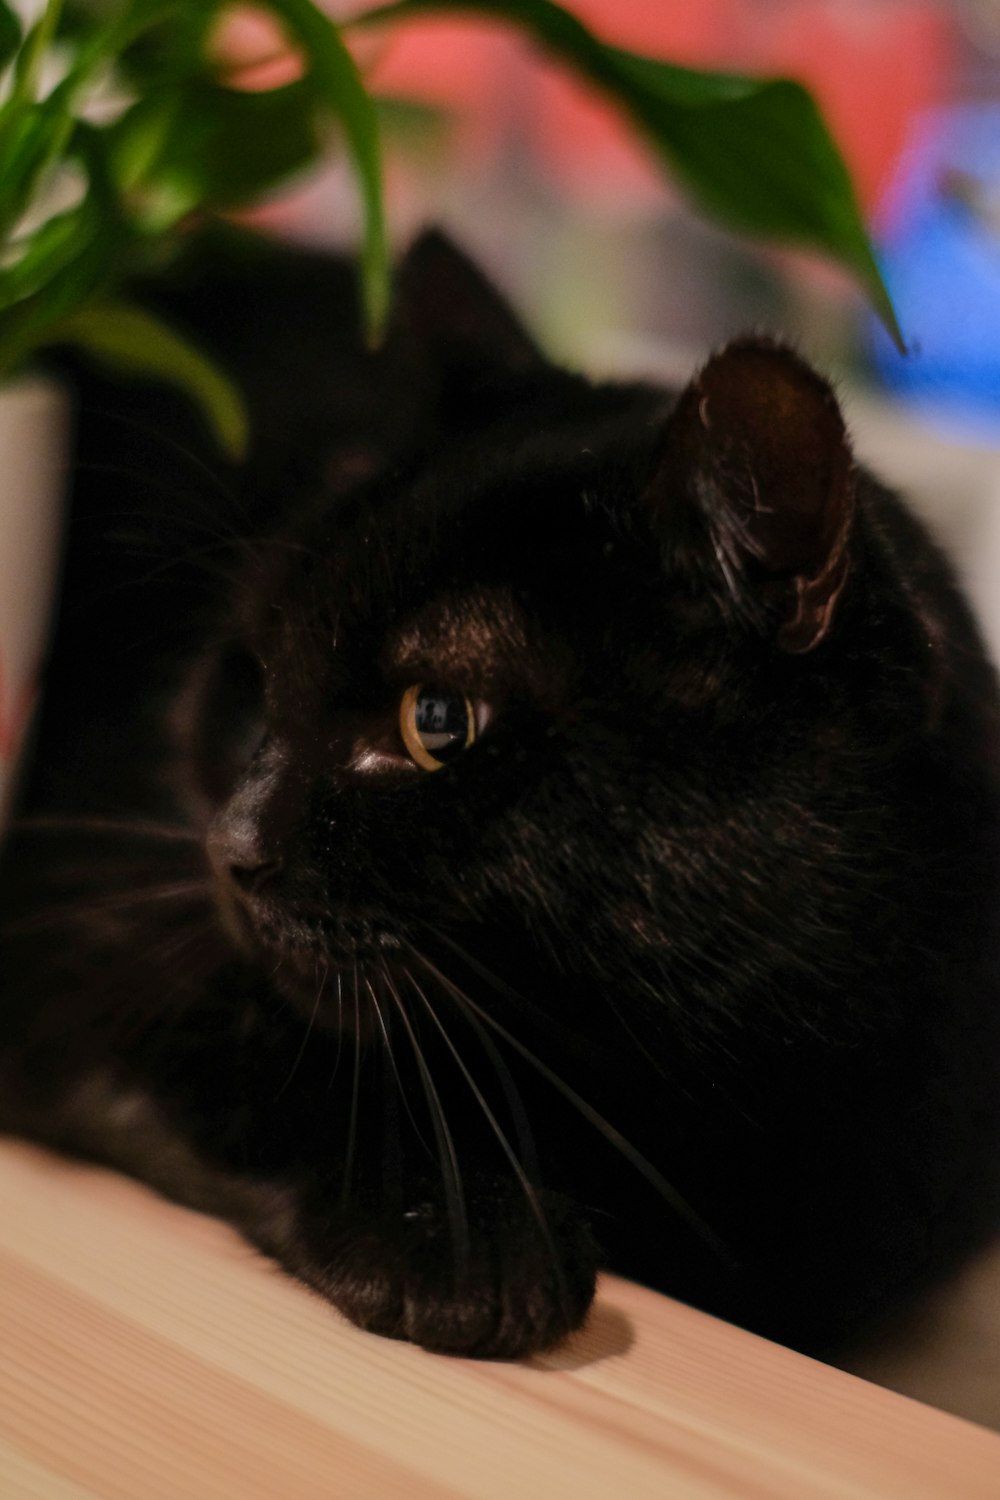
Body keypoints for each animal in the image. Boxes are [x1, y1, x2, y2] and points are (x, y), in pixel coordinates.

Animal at [1, 228, 1000, 1368]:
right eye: (256, 680)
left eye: (434, 722)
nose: (230, 844)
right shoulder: (81, 921)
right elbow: (259, 1044)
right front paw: (466, 1238)